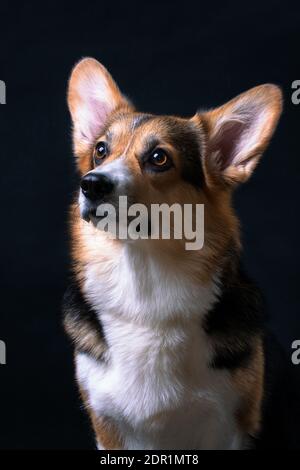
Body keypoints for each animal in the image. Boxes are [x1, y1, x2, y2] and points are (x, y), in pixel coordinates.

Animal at [63, 57, 284, 450]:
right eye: (101, 150)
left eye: (158, 157)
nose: (90, 184)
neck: (142, 281)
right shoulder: (107, 427)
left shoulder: (230, 427)